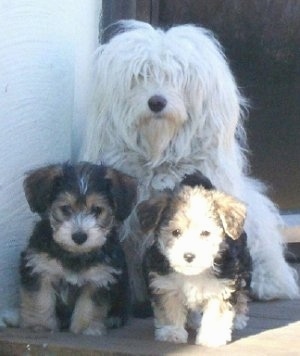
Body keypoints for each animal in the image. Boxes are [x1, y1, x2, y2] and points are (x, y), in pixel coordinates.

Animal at [21, 163, 137, 336]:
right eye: (65, 208)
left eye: (97, 210)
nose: (79, 237)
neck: (74, 254)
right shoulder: (39, 268)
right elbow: (40, 300)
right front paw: (40, 326)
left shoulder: (99, 278)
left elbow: (89, 307)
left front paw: (85, 330)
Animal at [137, 181, 252, 344]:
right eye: (176, 232)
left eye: (205, 233)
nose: (189, 256)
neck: (193, 273)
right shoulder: (164, 284)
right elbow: (170, 308)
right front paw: (172, 332)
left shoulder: (222, 286)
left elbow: (217, 313)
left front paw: (212, 336)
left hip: (243, 270)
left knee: (242, 294)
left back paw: (239, 319)